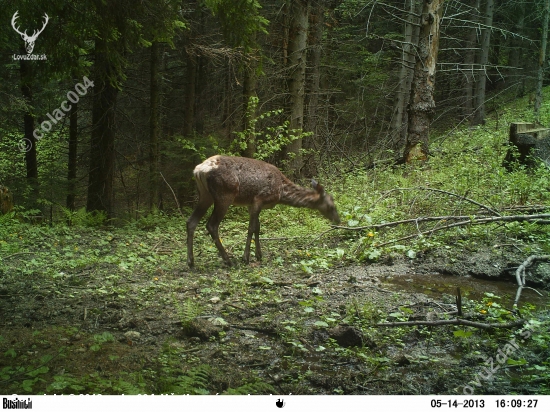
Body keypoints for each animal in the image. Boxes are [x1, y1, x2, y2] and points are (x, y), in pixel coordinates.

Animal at [187, 154, 340, 268]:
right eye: (332, 205)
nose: (338, 221)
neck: (281, 191)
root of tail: (198, 170)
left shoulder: (252, 204)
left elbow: (257, 228)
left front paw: (259, 255)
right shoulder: (258, 199)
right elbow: (251, 228)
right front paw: (246, 257)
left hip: (205, 195)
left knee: (191, 222)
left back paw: (191, 261)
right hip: (224, 195)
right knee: (211, 225)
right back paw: (228, 260)